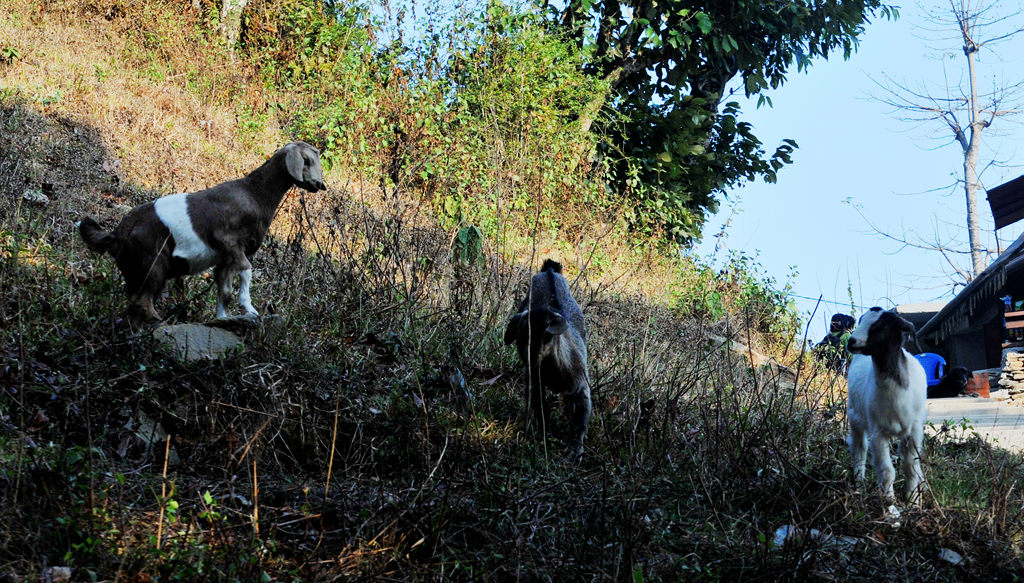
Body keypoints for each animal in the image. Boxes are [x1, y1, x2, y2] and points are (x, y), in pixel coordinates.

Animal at [78, 141, 325, 323]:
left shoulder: (224, 259)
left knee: (134, 305)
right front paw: (249, 309)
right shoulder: (230, 244)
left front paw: (222, 318)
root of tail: (117, 234)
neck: (255, 193)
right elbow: (246, 271)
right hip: (152, 265)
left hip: (134, 271)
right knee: (143, 302)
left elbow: (224, 290)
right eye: (307, 160)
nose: (320, 185)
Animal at [501, 259, 589, 459]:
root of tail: (549, 271)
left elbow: (580, 419)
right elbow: (541, 408)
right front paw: (545, 437)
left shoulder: (579, 386)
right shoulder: (536, 381)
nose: (531, 357)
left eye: (546, 335)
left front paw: (576, 449)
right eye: (521, 336)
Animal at [847, 307, 929, 502]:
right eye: (860, 321)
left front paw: (913, 500)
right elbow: (886, 471)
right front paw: (890, 503)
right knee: (859, 449)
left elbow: (911, 466)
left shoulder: (914, 430)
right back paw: (858, 484)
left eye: (880, 325)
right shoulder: (878, 432)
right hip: (855, 417)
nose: (851, 341)